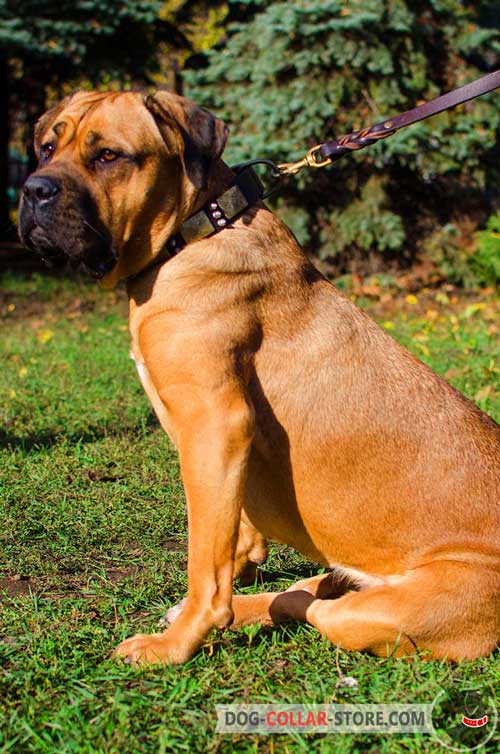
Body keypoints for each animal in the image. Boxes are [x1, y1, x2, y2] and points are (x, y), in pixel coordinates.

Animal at [18, 89, 500, 664]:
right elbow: (230, 537)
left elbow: (205, 563)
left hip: (391, 611)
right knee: (306, 591)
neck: (195, 231)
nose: (33, 190)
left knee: (318, 609)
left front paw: (177, 643)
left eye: (109, 155)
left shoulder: (215, 423)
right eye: (48, 147)